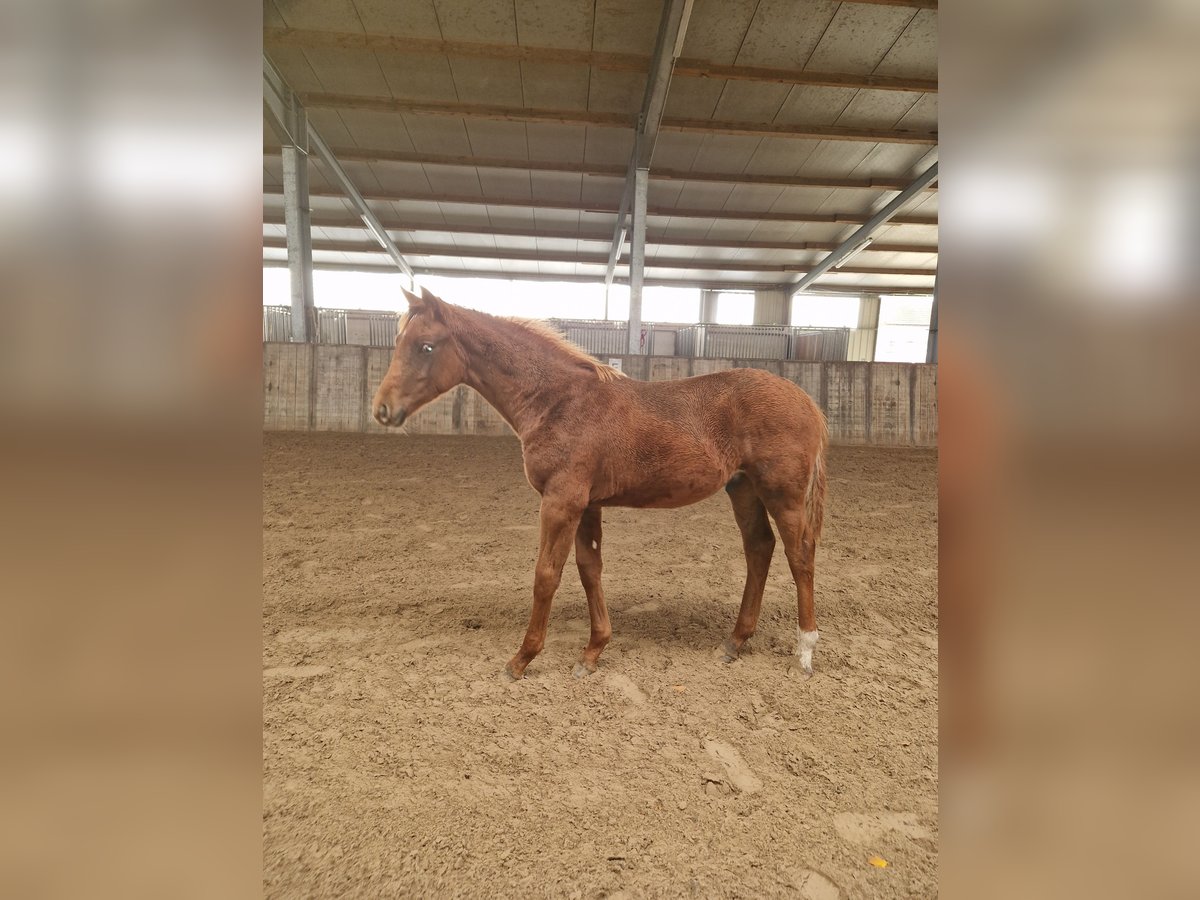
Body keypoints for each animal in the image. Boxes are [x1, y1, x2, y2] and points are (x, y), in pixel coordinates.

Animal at [372, 287, 828, 681]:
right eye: (400, 340)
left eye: (426, 346)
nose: (382, 409)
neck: (558, 401)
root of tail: (807, 400)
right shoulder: (587, 504)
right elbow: (589, 569)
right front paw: (592, 652)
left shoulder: (561, 502)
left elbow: (546, 575)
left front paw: (521, 660)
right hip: (743, 488)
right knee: (759, 548)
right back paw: (734, 642)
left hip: (782, 493)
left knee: (799, 554)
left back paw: (804, 652)